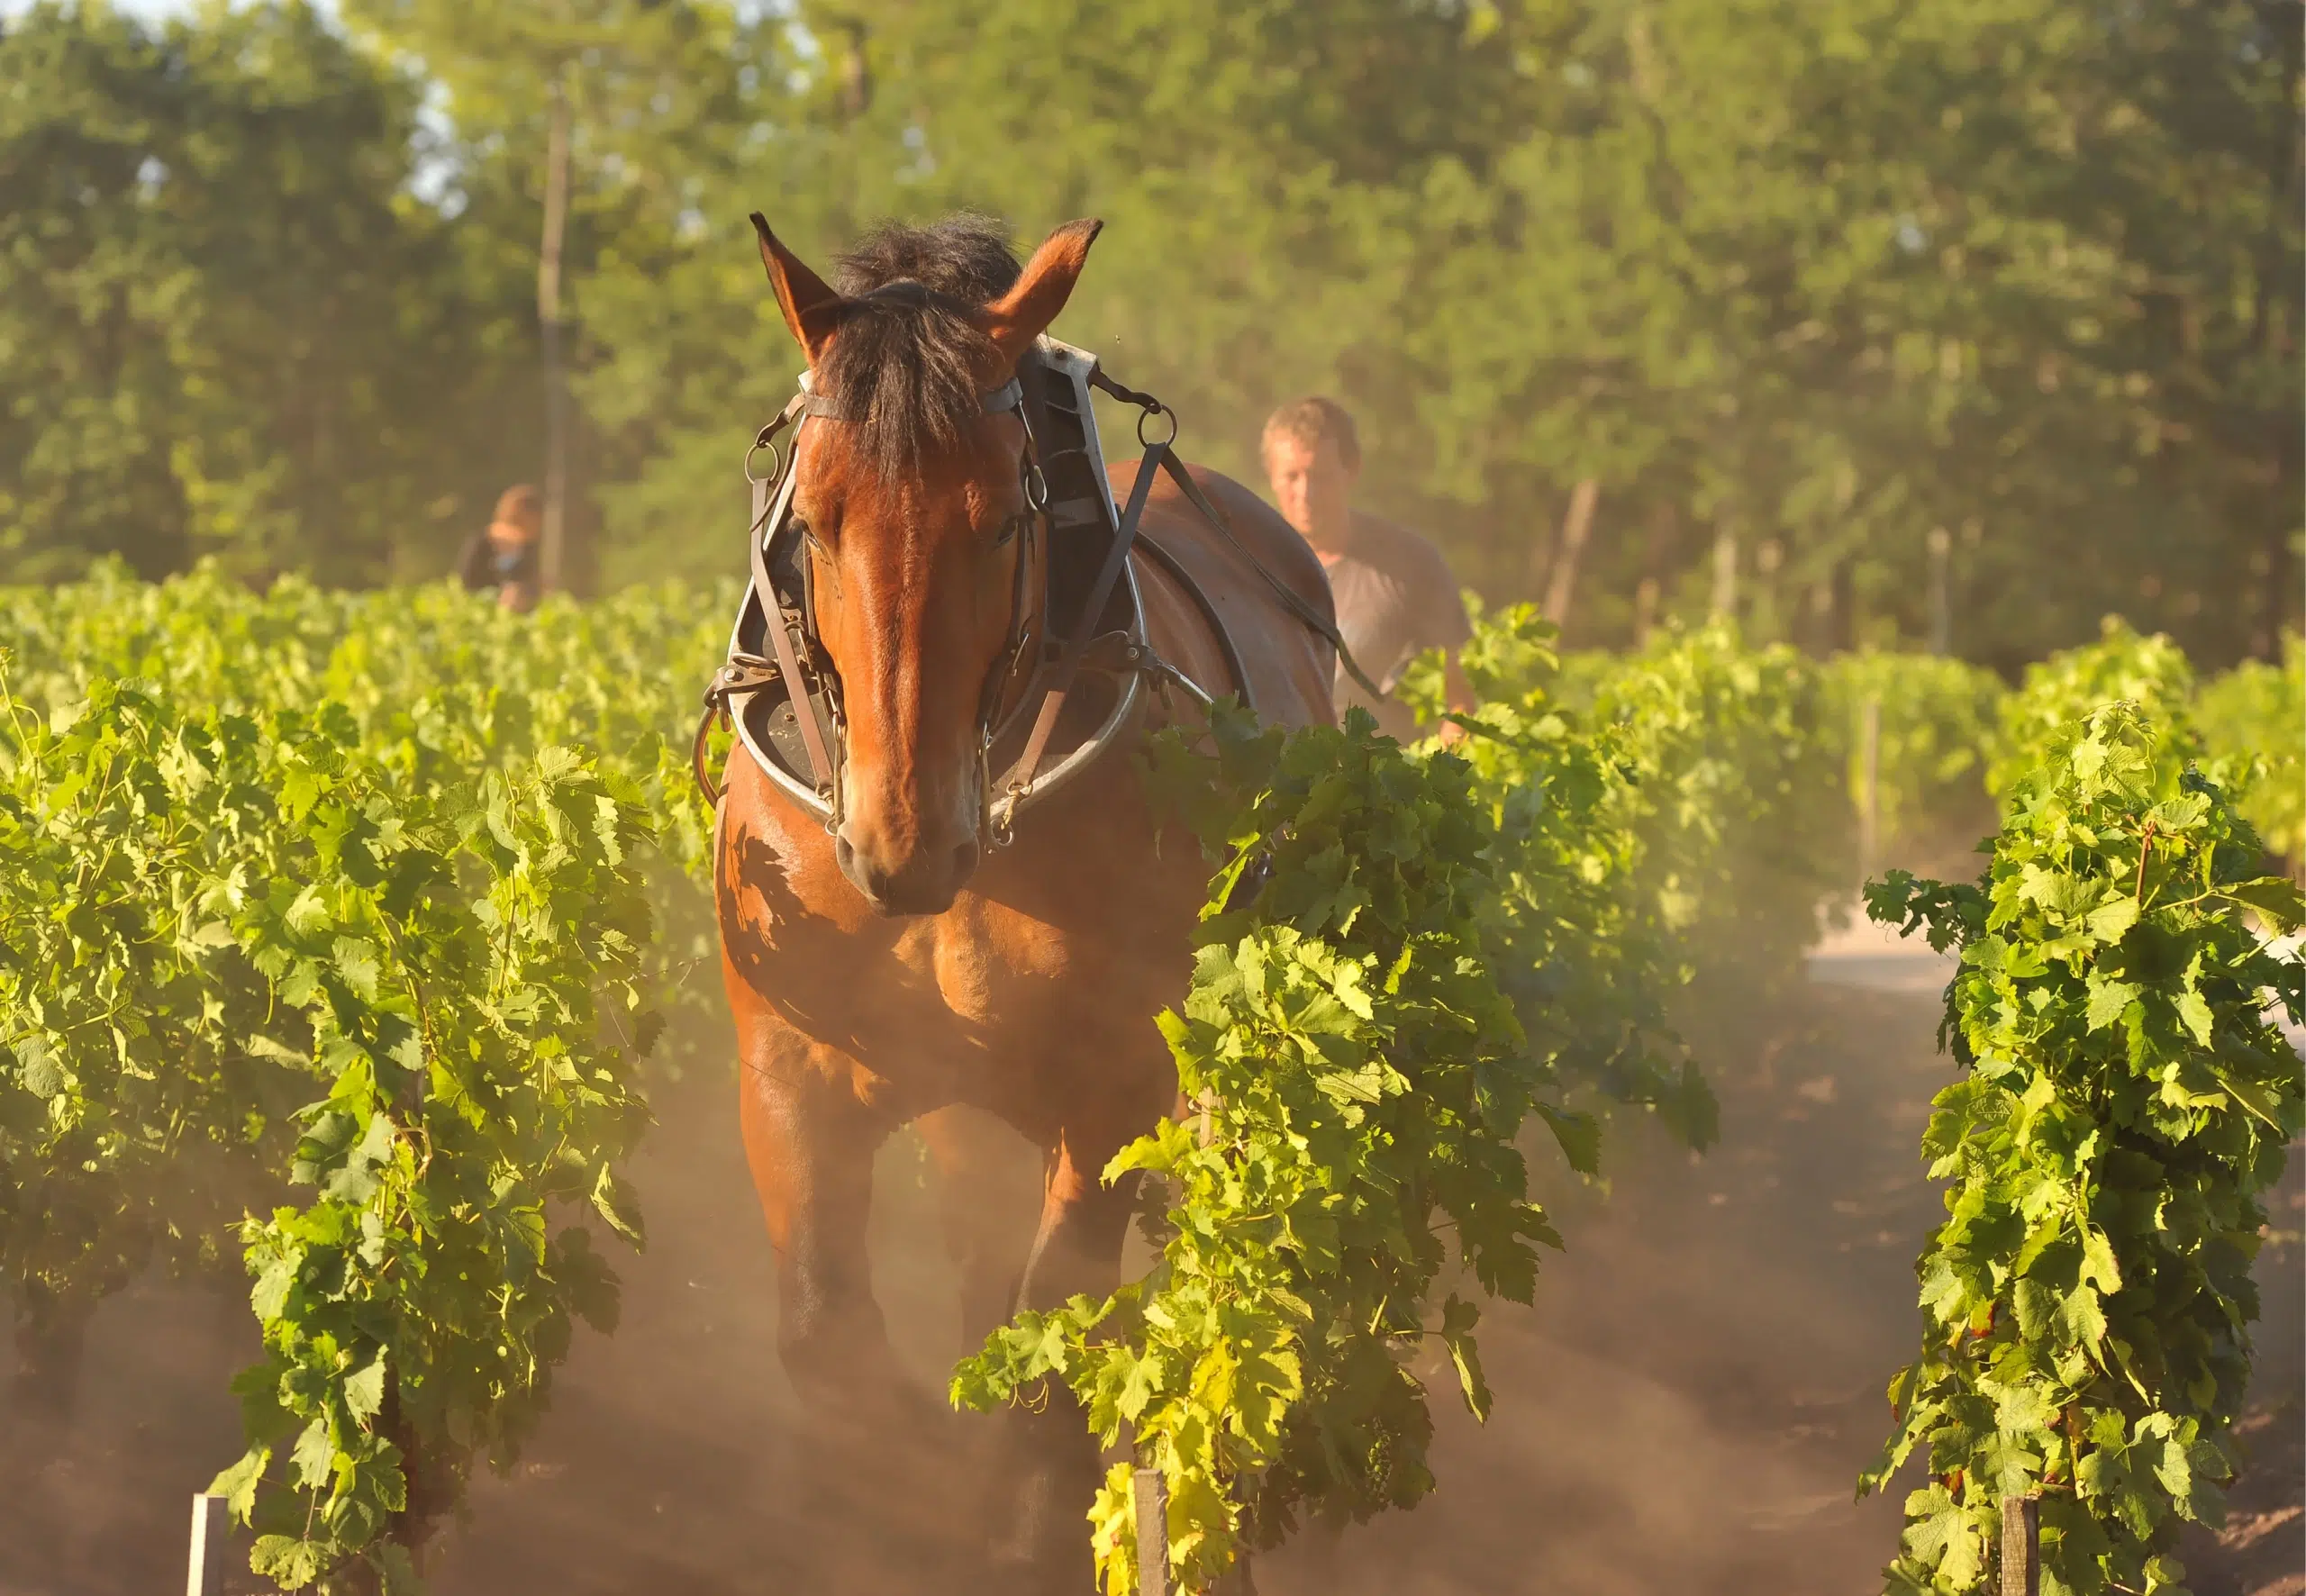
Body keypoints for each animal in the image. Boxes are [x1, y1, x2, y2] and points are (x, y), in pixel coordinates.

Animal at [710, 211, 1335, 1590]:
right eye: (813, 521)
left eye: (1003, 520)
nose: (903, 840)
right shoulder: (789, 1060)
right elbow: (825, 1337)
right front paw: (900, 1484)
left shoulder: (1113, 1082)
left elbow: (1055, 1352)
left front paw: (1025, 1516)